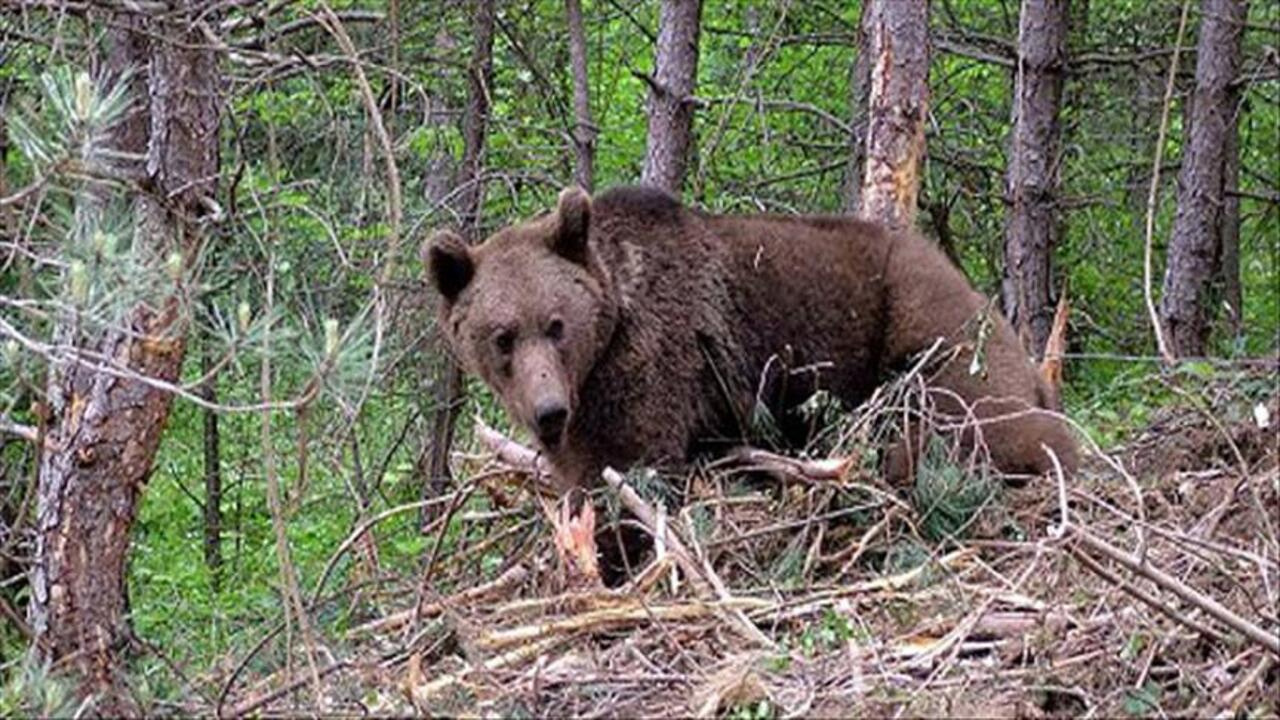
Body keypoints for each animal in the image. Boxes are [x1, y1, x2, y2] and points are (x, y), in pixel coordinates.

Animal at [430, 181, 1080, 489]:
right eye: (502, 336)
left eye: (557, 325)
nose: (548, 411)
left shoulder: (654, 360)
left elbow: (630, 464)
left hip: (926, 326)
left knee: (969, 420)